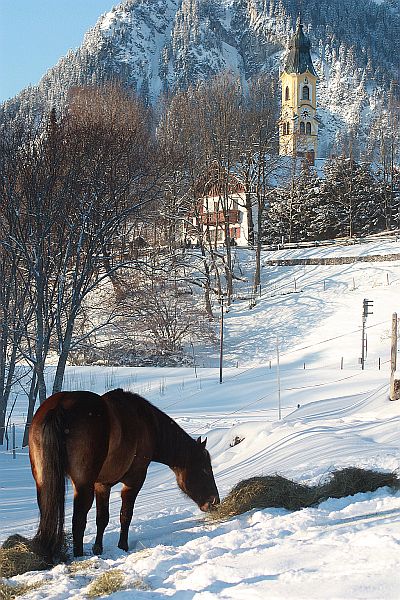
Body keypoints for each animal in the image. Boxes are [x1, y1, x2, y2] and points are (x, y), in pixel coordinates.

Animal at [28, 390, 219, 564]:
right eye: (205, 470)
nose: (214, 501)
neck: (147, 423)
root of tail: (60, 405)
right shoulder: (134, 480)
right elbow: (125, 515)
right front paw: (123, 546)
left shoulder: (102, 484)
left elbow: (102, 519)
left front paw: (98, 549)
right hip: (83, 486)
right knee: (78, 522)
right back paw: (78, 556)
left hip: (44, 484)